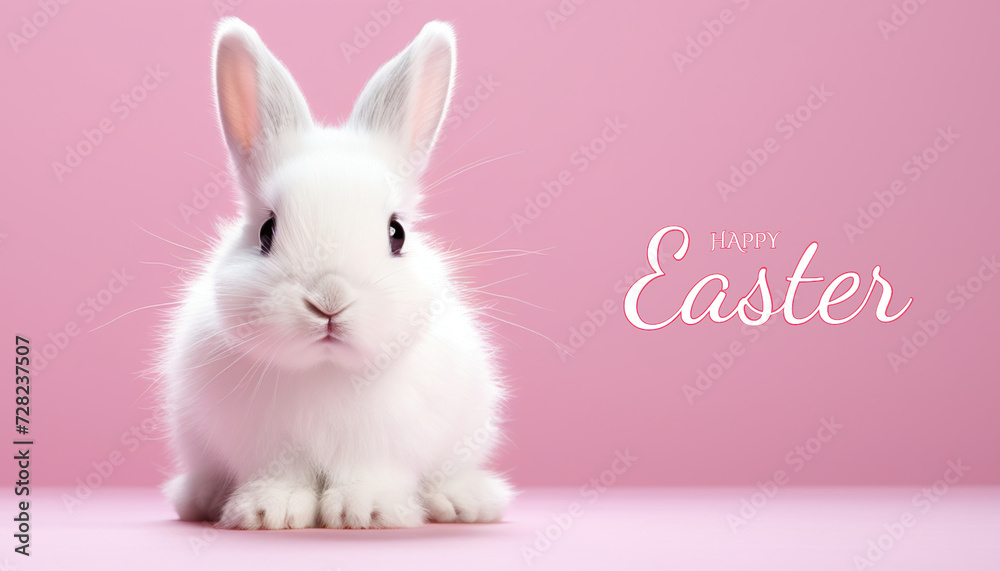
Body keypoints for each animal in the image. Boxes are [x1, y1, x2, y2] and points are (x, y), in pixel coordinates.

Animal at [160, 17, 513, 529]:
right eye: (266, 231)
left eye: (396, 233)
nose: (329, 301)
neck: (325, 372)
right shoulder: (268, 449)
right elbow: (281, 478)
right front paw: (269, 511)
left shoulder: (383, 445)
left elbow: (370, 474)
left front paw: (364, 511)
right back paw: (201, 497)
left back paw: (464, 501)